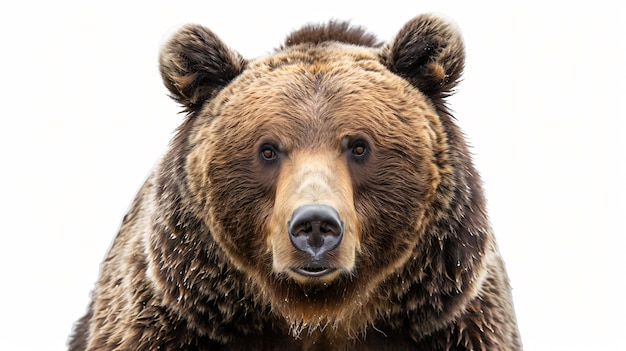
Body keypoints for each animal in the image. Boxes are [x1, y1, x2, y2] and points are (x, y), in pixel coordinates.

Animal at [68, 13, 520, 351]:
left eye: (359, 146)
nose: (315, 225)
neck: (315, 315)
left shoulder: (453, 326)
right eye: (268, 149)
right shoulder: (175, 323)